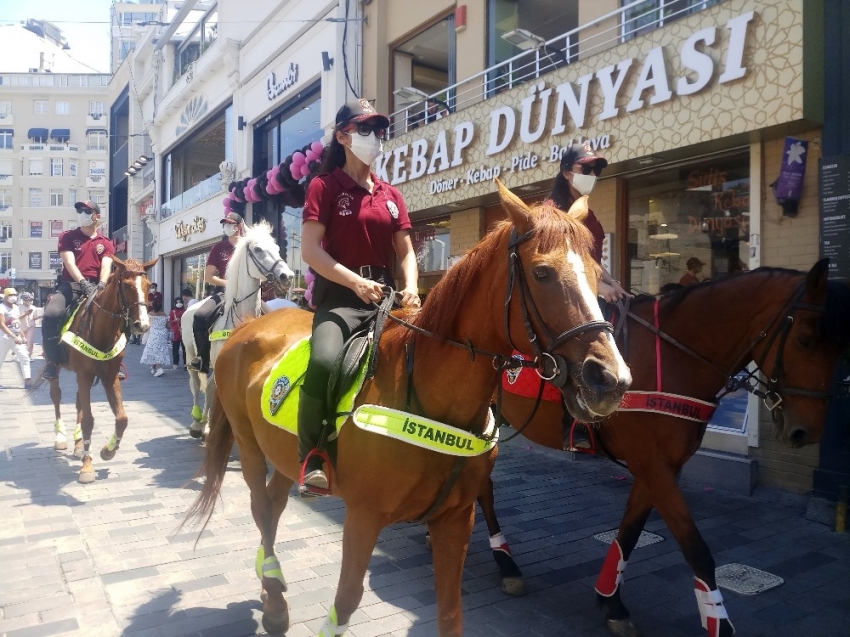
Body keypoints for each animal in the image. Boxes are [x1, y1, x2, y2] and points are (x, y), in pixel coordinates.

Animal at [46, 258, 157, 482]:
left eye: (148, 285)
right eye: (126, 285)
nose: (142, 325)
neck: (100, 329)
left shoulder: (109, 376)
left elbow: (122, 419)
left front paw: (108, 451)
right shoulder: (85, 375)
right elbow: (89, 420)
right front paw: (87, 466)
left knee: (78, 402)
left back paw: (78, 445)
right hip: (57, 367)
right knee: (56, 395)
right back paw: (61, 437)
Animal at [182, 220, 294, 438]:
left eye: (277, 248)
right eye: (258, 249)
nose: (288, 276)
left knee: (209, 386)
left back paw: (205, 423)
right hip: (191, 354)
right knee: (196, 384)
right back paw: (197, 422)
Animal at [476, 258, 848, 636]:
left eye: (840, 348)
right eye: (805, 339)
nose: (805, 431)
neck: (674, 356)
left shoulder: (658, 466)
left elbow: (629, 533)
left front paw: (612, 600)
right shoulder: (653, 467)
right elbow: (695, 548)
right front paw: (718, 620)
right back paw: (505, 563)